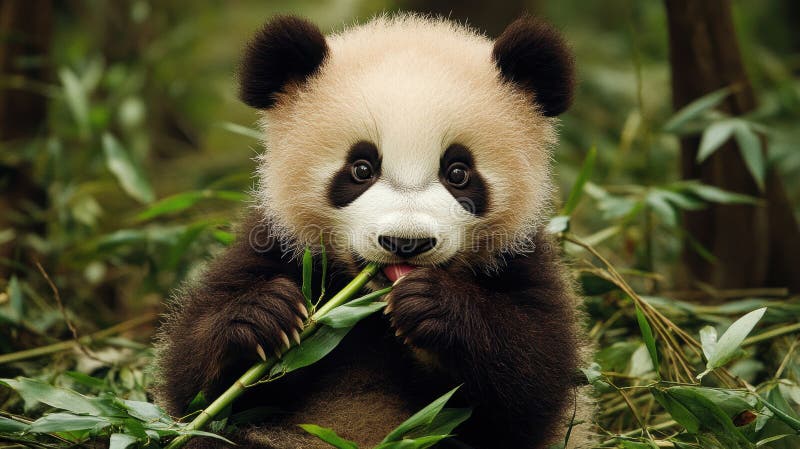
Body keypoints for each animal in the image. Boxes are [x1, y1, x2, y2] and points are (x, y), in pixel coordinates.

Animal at [154, 13, 594, 449]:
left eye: (458, 173)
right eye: (361, 169)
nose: (406, 242)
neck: (372, 309)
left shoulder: (522, 261)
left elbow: (533, 388)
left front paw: (434, 305)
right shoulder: (274, 245)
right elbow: (195, 390)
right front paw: (263, 314)